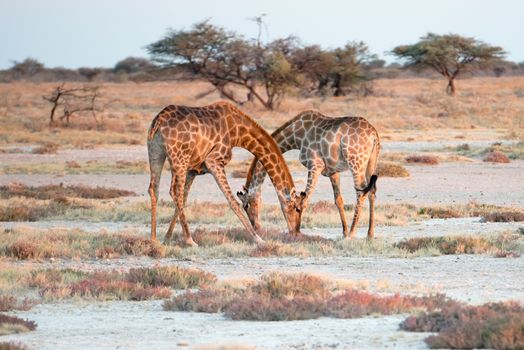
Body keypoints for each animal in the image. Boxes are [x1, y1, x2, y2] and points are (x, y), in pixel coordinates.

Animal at [146, 100, 302, 245]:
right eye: (296, 208)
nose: (296, 232)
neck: (238, 132)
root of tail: (159, 119)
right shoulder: (214, 161)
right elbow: (232, 201)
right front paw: (258, 239)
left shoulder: (193, 169)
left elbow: (184, 199)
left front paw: (167, 238)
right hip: (179, 159)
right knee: (173, 192)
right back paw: (190, 240)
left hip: (157, 152)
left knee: (155, 189)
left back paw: (153, 239)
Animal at [237, 110, 380, 239]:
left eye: (246, 205)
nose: (255, 226)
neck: (297, 136)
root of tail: (373, 134)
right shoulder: (333, 171)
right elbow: (338, 200)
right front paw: (343, 233)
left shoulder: (315, 165)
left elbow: (304, 201)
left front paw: (297, 231)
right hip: (371, 162)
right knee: (372, 191)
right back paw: (369, 234)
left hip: (356, 162)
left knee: (361, 192)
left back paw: (352, 233)